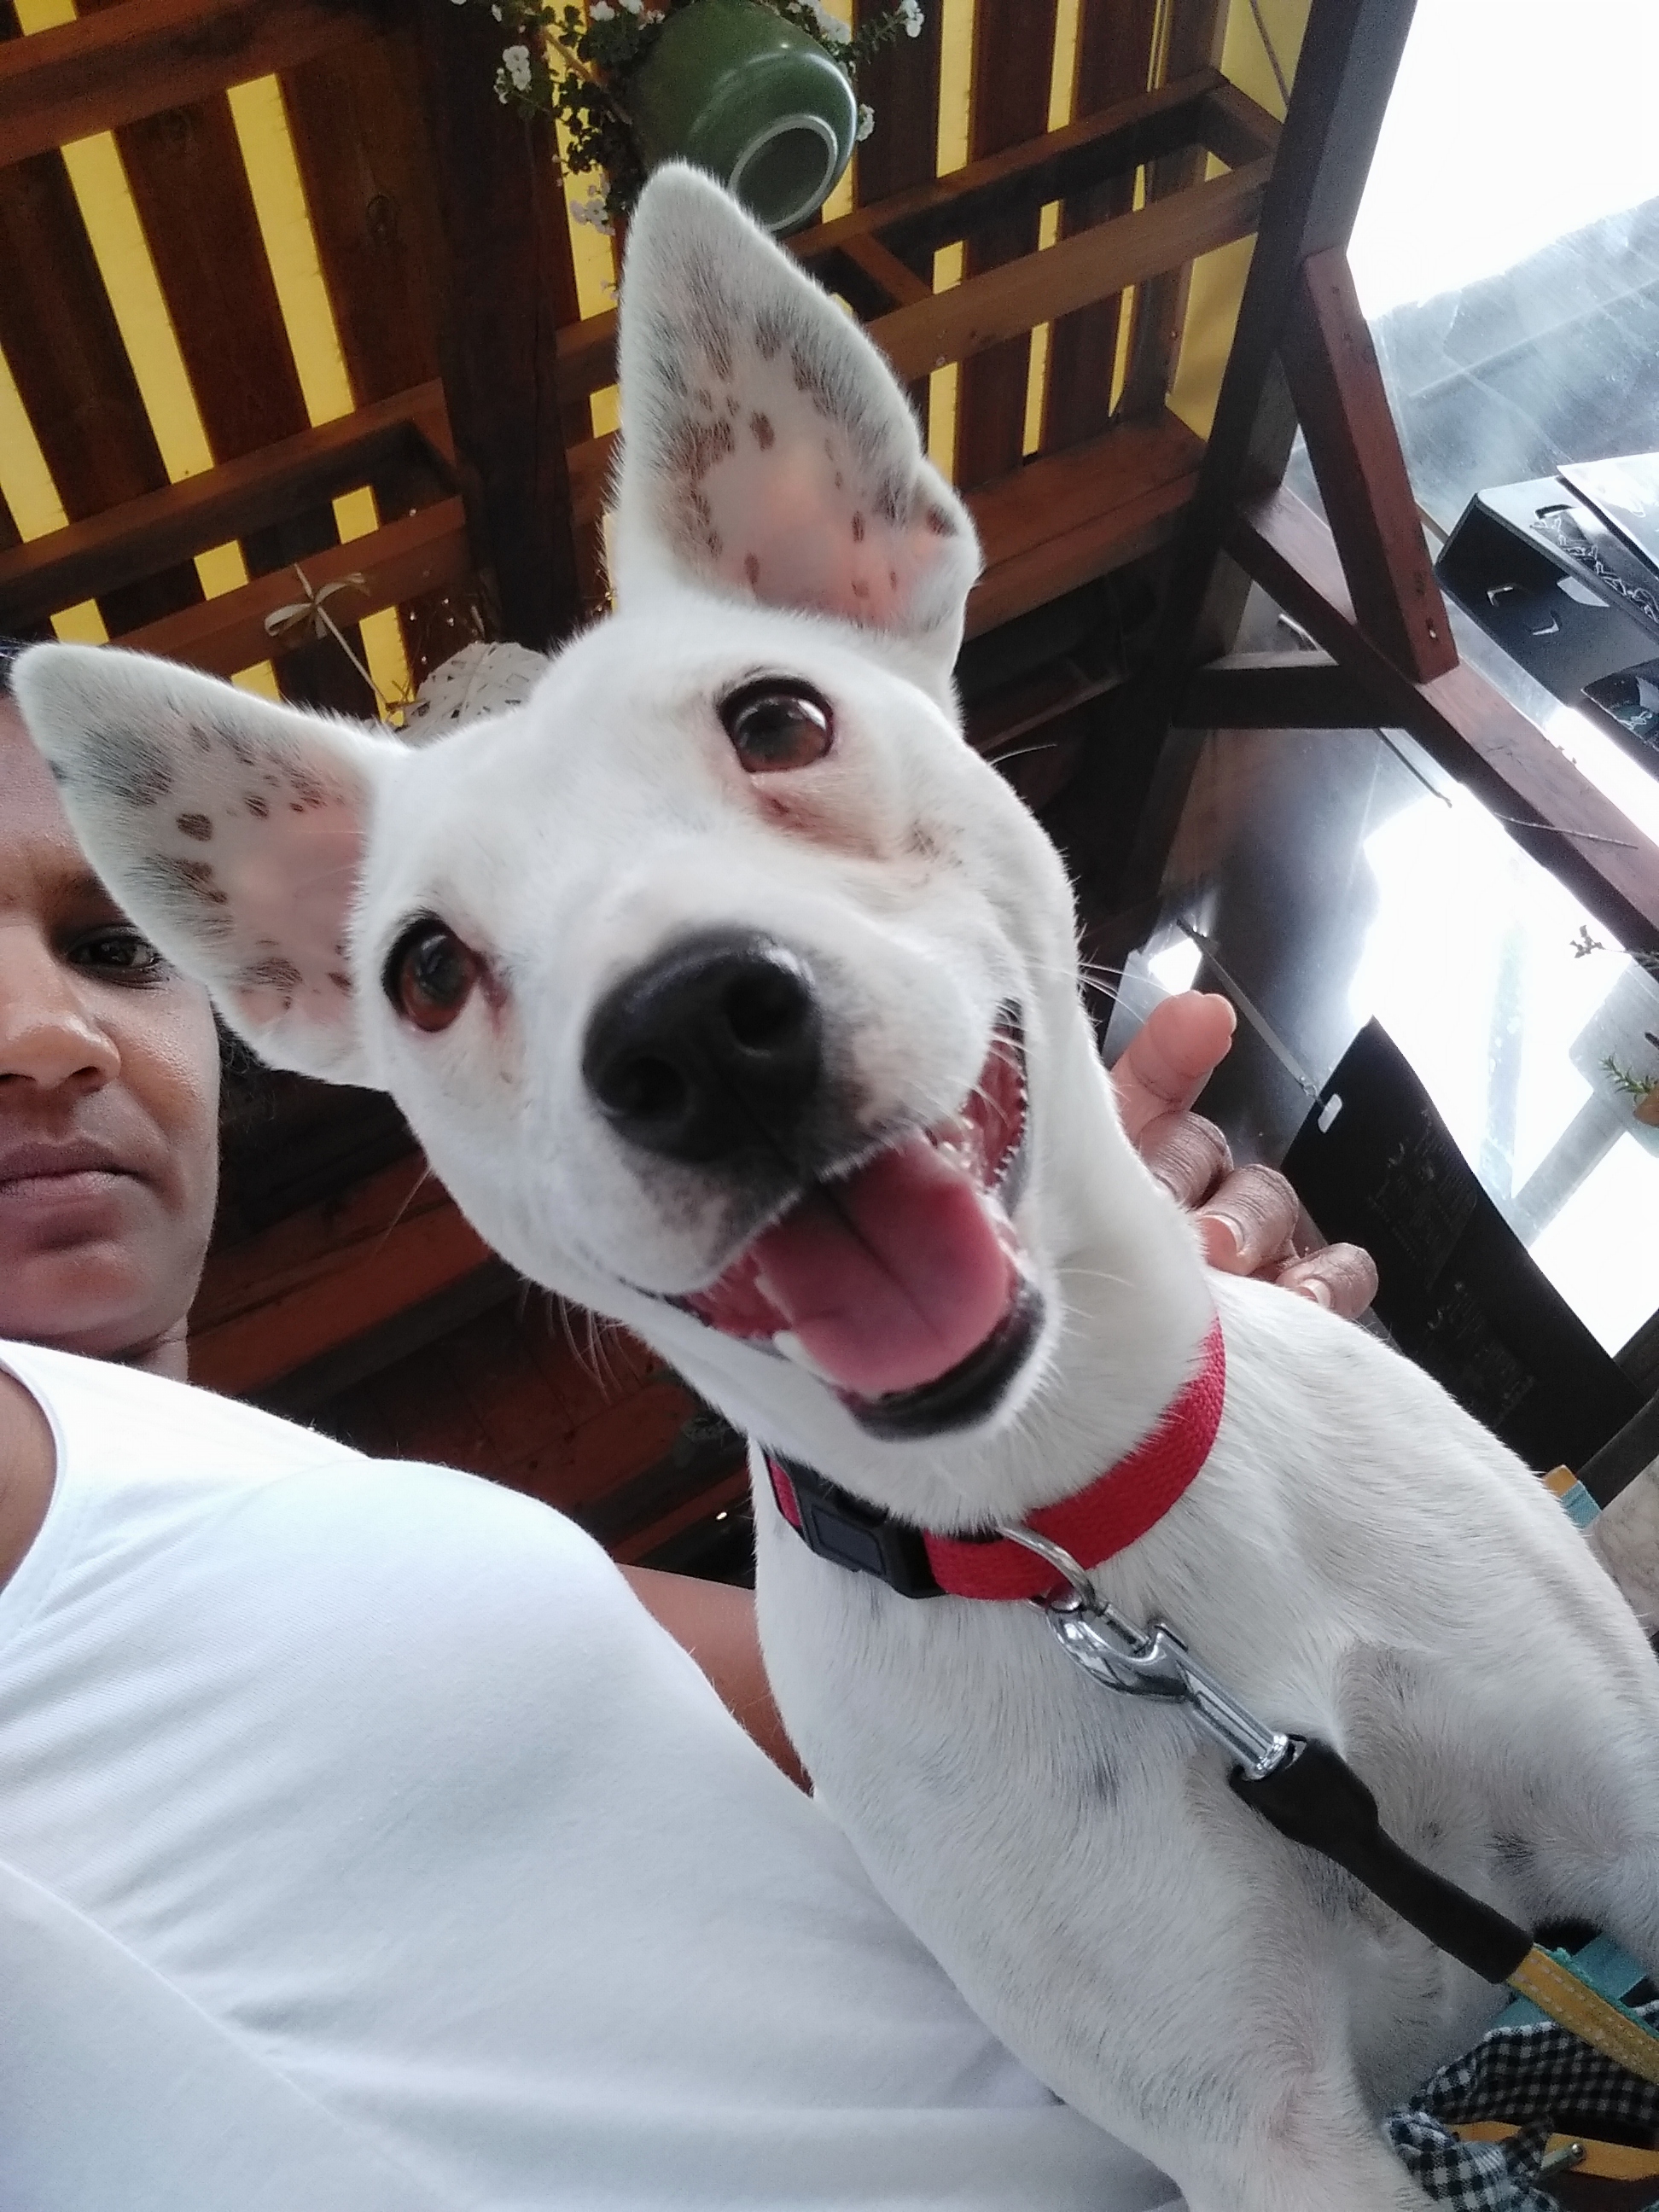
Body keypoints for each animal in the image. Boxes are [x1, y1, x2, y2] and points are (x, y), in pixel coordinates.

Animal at [17, 166, 1659, 2212]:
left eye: (780, 722)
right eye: (424, 968)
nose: (694, 1036)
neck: (1102, 1561)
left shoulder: (1625, 1810)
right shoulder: (1265, 2138)